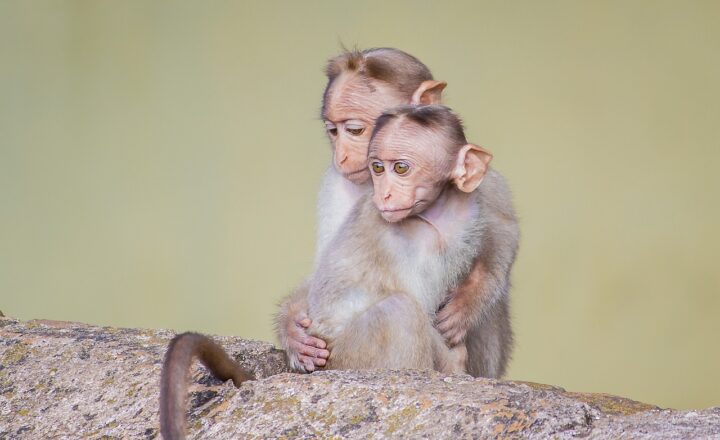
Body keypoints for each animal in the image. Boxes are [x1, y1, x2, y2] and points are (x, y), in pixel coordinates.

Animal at [276, 48, 518, 378]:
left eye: (355, 130)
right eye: (333, 131)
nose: (342, 156)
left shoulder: (478, 190)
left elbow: (503, 233)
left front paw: (468, 302)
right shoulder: (338, 185)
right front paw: (292, 328)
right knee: (398, 311)